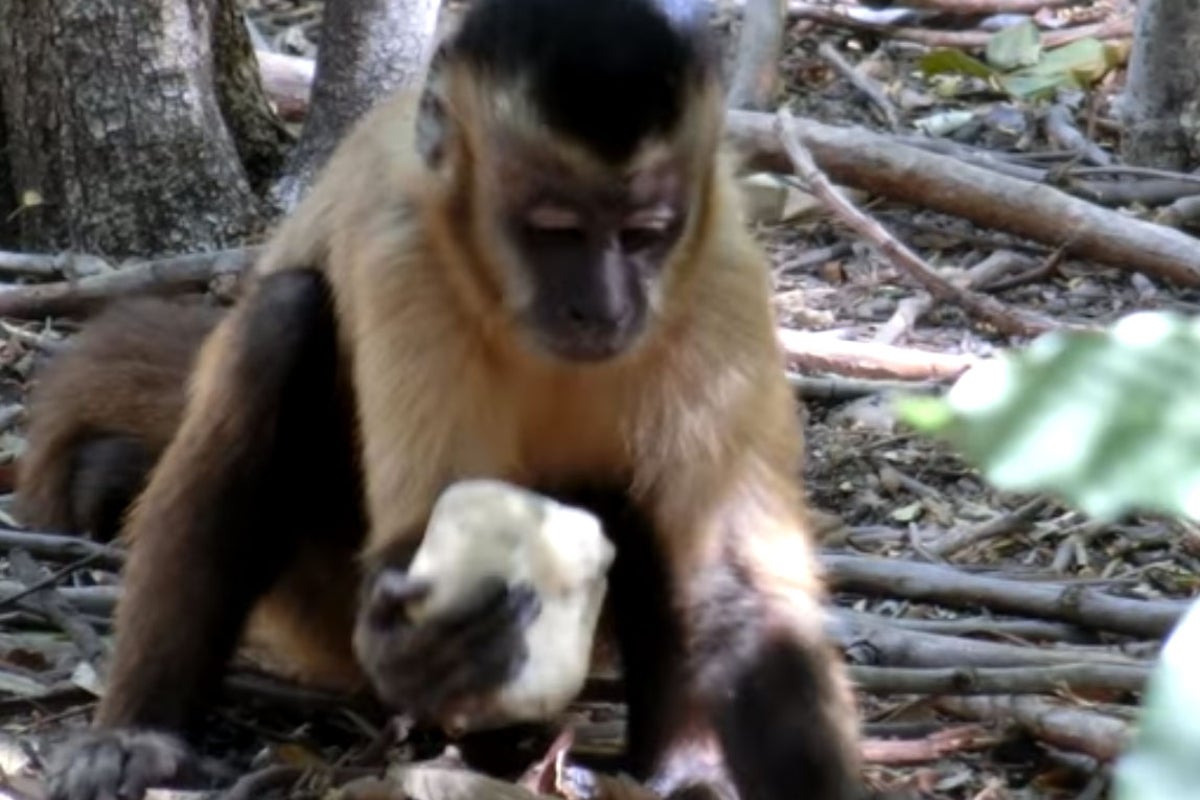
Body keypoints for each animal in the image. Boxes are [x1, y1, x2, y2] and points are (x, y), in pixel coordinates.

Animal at [21, 1, 865, 799]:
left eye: (643, 235)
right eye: (556, 232)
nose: (604, 308)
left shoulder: (721, 273)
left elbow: (737, 587)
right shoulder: (407, 249)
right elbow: (423, 527)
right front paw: (434, 646)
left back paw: (672, 767)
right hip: (317, 607)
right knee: (281, 325)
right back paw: (145, 730)